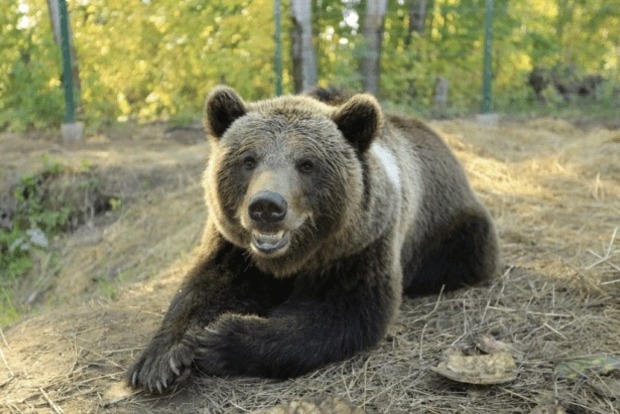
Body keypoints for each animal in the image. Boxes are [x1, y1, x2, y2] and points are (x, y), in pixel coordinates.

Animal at [126, 85, 498, 392]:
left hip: (449, 226)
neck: (289, 260)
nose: (267, 206)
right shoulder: (232, 246)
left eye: (306, 164)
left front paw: (221, 338)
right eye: (249, 159)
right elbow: (204, 287)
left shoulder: (360, 247)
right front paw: (161, 361)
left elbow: (340, 314)